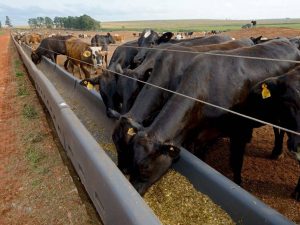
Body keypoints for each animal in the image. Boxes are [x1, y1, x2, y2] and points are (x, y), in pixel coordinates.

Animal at [114, 37, 300, 194]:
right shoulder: (196, 137)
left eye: (145, 167)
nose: (122, 171)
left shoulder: (238, 131)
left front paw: (238, 183)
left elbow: (236, 163)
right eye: (120, 148)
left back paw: (277, 152)